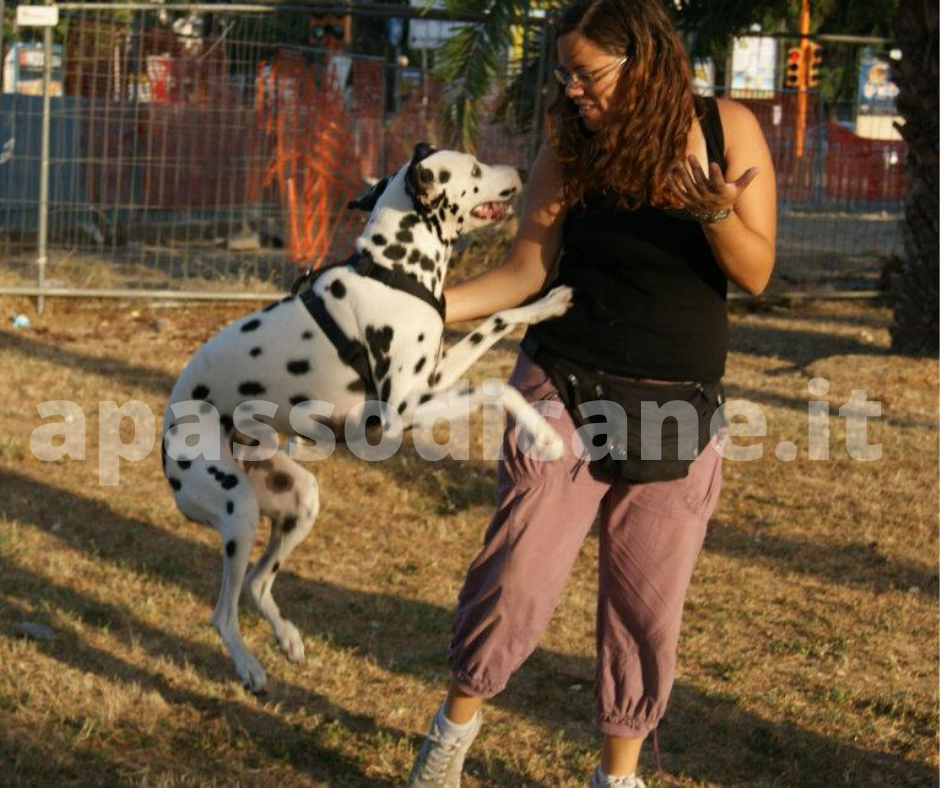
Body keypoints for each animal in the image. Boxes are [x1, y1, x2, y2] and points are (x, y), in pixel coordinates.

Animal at [162, 145, 568, 692]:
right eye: (475, 168)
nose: (524, 171)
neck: (395, 272)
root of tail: (166, 444)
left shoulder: (434, 378)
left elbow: (500, 321)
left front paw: (550, 302)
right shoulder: (400, 416)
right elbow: (496, 387)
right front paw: (545, 437)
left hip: (300, 500)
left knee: (256, 583)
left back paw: (288, 638)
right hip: (238, 510)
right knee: (223, 611)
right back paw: (248, 665)